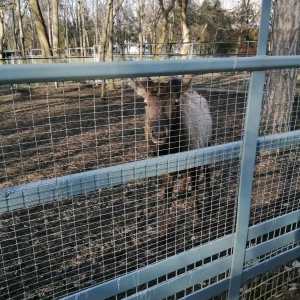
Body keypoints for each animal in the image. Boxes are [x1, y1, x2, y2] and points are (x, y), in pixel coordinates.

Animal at [130, 75, 212, 234]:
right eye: (145, 103)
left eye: (175, 102)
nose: (159, 133)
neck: (172, 149)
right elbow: (166, 197)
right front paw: (162, 231)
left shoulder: (193, 160)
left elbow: (194, 191)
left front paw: (198, 222)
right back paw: (182, 190)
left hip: (208, 142)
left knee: (207, 168)